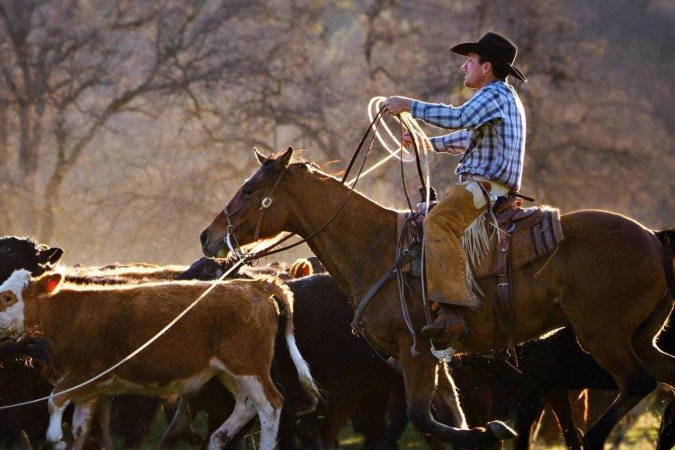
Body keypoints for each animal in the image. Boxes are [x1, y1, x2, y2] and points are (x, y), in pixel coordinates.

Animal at [0, 269, 319, 450]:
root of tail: (256, 286)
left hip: (247, 365)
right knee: (246, 405)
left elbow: (54, 404)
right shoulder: (88, 391)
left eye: (7, 297)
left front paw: (55, 434)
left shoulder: (89, 374)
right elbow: (79, 430)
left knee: (270, 405)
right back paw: (217, 439)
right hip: (229, 372)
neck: (70, 314)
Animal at [200, 148, 675, 449]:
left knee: (638, 383)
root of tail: (653, 239)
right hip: (641, 337)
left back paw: (595, 438)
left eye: (250, 188)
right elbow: (448, 414)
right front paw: (484, 434)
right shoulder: (432, 354)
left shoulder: (414, 350)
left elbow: (422, 416)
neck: (375, 248)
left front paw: (489, 432)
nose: (207, 236)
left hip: (603, 335)